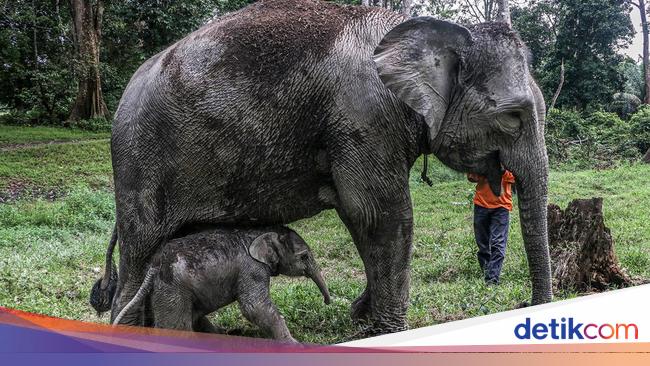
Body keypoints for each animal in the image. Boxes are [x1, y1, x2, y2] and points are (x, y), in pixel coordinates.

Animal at [112, 226, 330, 344]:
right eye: (304, 257)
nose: (328, 302)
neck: (261, 231)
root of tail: (155, 265)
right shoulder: (252, 269)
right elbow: (254, 307)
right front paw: (295, 345)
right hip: (172, 287)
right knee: (177, 326)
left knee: (193, 315)